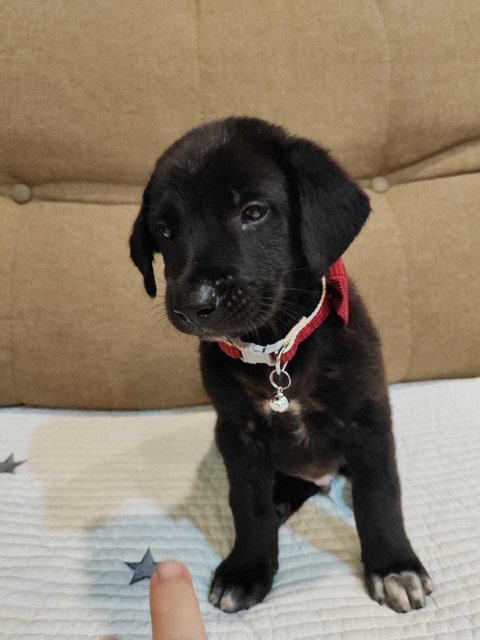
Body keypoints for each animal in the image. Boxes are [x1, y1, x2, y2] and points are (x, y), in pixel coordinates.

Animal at [129, 116, 434, 616]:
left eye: (254, 212)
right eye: (165, 230)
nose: (193, 305)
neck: (277, 351)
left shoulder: (368, 421)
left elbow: (379, 495)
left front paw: (393, 566)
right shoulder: (238, 434)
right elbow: (246, 503)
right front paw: (248, 568)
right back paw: (282, 500)